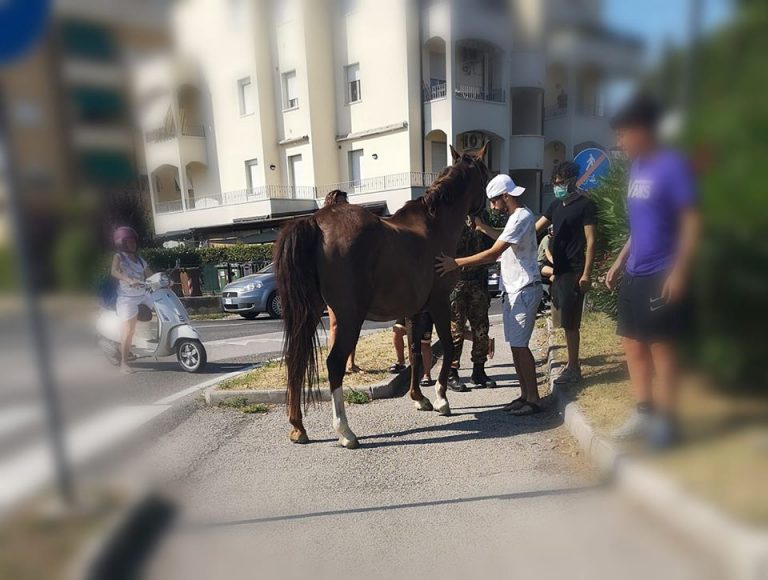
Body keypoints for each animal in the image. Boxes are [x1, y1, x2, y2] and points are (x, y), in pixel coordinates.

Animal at [274, 144, 490, 449]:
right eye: (486, 175)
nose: (487, 214)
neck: (434, 225)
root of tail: (315, 221)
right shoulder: (439, 304)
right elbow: (448, 346)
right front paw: (441, 399)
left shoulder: (415, 311)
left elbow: (415, 352)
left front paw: (419, 398)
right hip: (349, 317)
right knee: (334, 363)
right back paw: (345, 432)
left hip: (311, 313)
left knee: (297, 360)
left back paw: (298, 427)